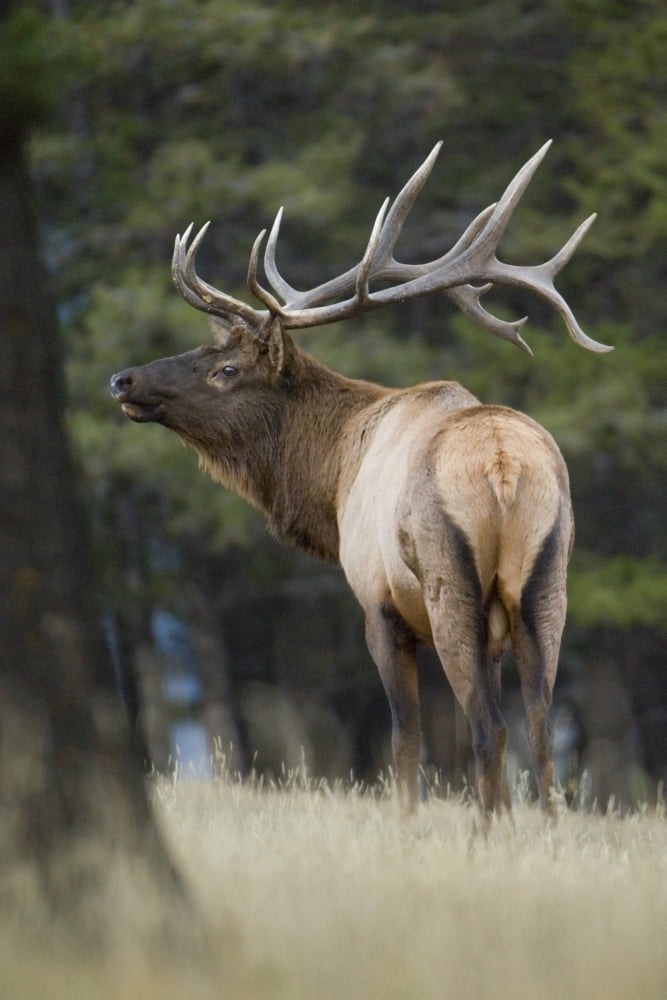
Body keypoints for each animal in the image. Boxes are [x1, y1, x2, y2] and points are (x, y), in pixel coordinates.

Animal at [110, 140, 611, 819]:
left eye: (226, 369)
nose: (123, 379)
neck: (331, 481)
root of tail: (503, 466)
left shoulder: (377, 602)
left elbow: (404, 740)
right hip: (547, 585)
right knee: (539, 729)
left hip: (449, 587)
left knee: (489, 727)